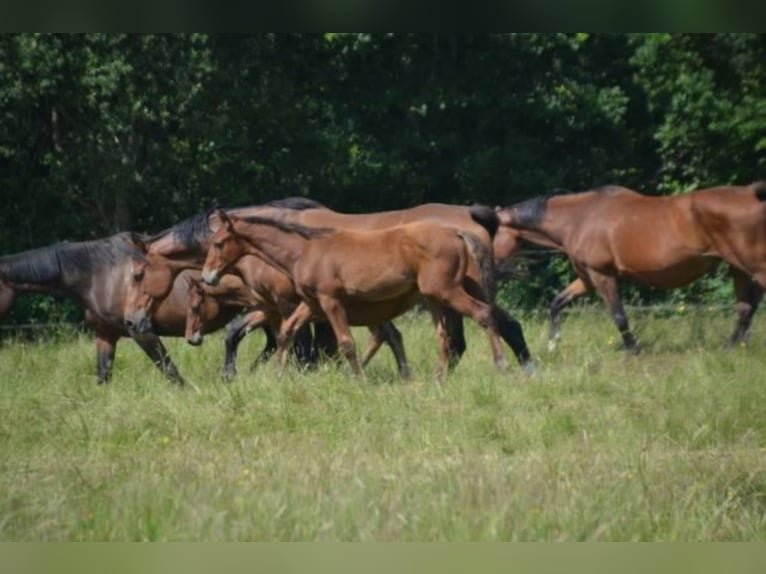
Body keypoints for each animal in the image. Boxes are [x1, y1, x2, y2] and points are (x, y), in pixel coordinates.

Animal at [202, 209, 510, 380]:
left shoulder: (331, 301)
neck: (305, 250)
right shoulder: (312, 303)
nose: (207, 276)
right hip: (434, 298)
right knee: (443, 337)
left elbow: (346, 343)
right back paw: (439, 376)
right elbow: (287, 332)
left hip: (447, 292)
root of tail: (457, 233)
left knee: (484, 314)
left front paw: (358, 379)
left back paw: (500, 365)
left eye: (219, 243)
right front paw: (276, 374)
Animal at [496, 181, 766, 352]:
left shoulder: (602, 275)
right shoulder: (587, 279)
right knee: (745, 309)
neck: (579, 218)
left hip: (754, 267)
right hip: (738, 268)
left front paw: (633, 349)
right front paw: (553, 344)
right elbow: (556, 303)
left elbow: (618, 315)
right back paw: (730, 348)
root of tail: (752, 192)